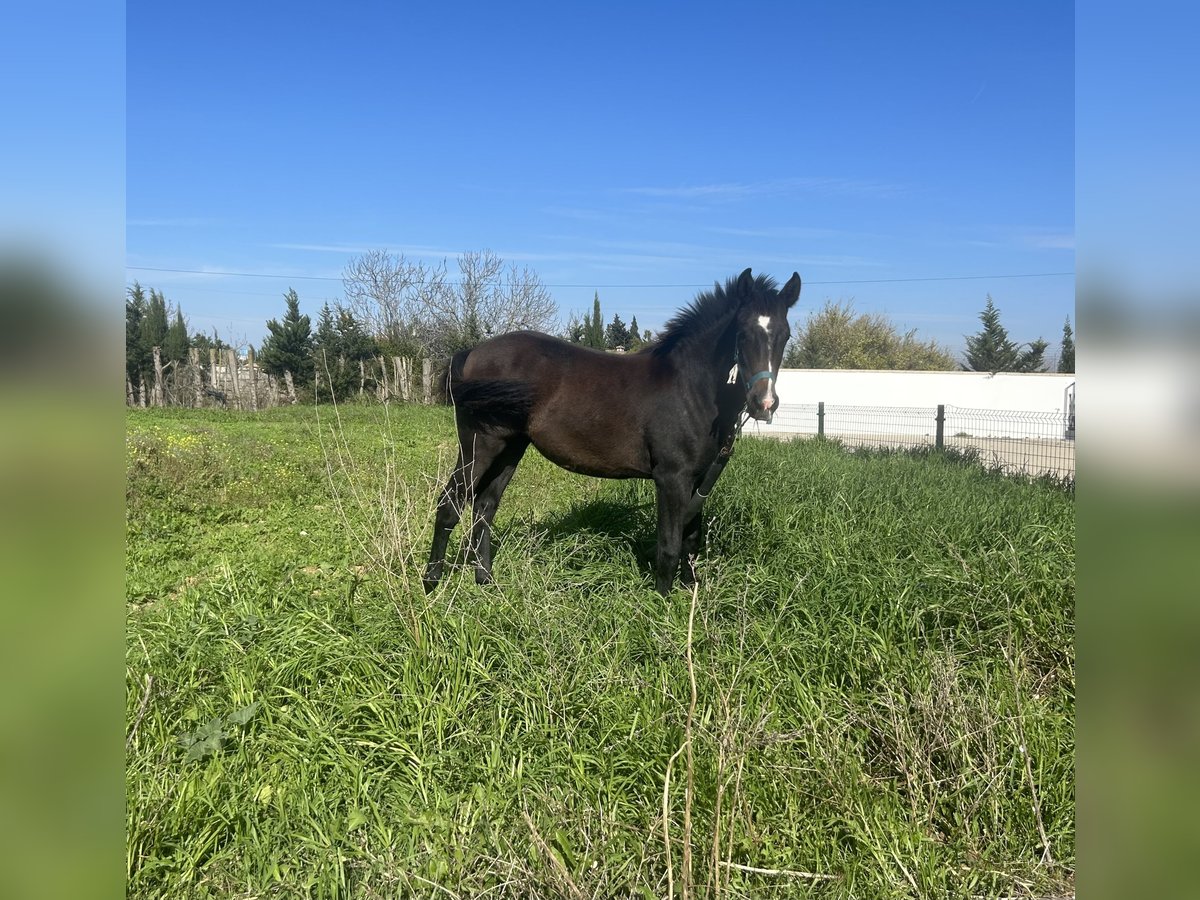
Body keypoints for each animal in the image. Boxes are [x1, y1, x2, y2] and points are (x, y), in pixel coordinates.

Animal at [422, 270, 796, 592]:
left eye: (785, 335)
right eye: (742, 332)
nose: (764, 403)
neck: (689, 386)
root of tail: (471, 353)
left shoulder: (698, 479)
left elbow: (691, 542)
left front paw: (690, 600)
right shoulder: (671, 478)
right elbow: (669, 547)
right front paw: (663, 607)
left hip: (511, 447)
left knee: (484, 508)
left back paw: (486, 582)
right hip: (479, 445)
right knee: (450, 505)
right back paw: (431, 584)